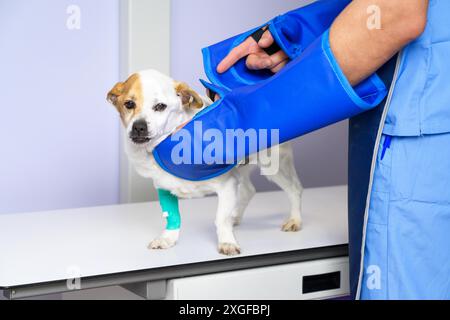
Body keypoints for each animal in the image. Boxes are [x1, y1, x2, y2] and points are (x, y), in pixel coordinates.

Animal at [106, 69, 302, 255]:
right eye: (129, 104)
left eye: (160, 106)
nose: (139, 127)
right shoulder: (164, 188)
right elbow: (172, 217)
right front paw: (168, 238)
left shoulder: (227, 185)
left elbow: (221, 219)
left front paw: (227, 242)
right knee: (249, 190)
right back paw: (236, 217)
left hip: (273, 167)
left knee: (295, 188)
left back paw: (295, 220)